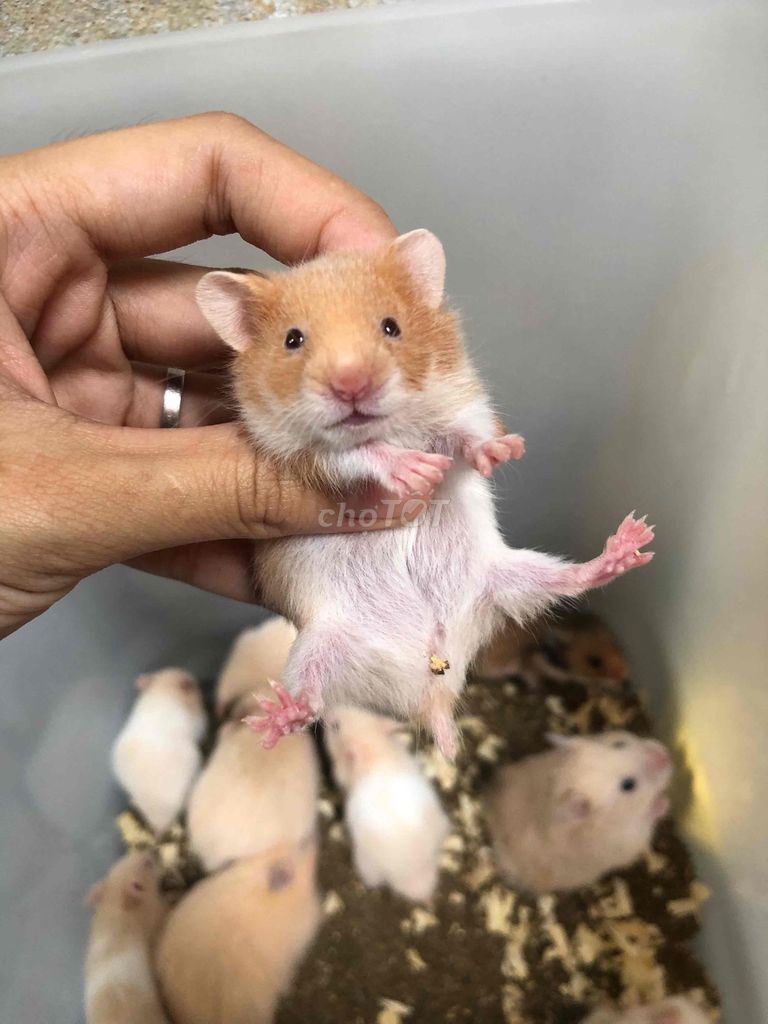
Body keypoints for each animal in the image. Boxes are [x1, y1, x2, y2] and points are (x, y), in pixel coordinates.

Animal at [196, 229, 654, 758]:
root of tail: (431, 683)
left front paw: (502, 450)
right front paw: (416, 471)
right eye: (293, 339)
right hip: (321, 644)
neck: (390, 425)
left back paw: (630, 542)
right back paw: (274, 719)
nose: (351, 384)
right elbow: (358, 453)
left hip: (504, 579)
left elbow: (462, 438)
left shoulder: (456, 408)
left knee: (574, 580)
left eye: (391, 326)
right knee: (310, 700)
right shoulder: (303, 456)